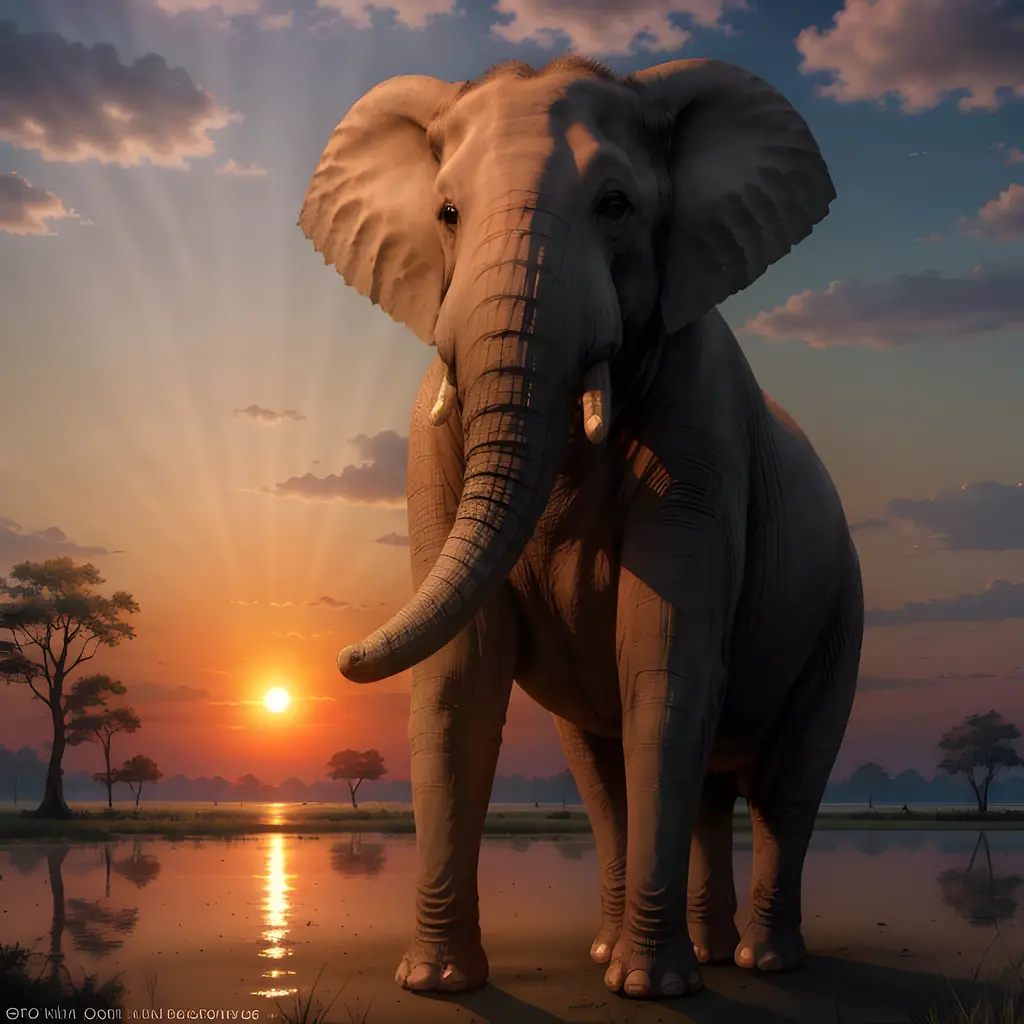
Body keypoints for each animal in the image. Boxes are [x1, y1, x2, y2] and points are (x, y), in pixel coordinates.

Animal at [299, 54, 864, 1001]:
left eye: (616, 206)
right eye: (447, 215)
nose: (338, 658)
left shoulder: (703, 433)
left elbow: (663, 662)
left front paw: (651, 990)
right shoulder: (430, 438)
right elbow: (461, 671)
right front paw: (438, 984)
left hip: (841, 611)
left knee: (784, 786)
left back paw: (761, 962)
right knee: (627, 786)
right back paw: (666, 951)